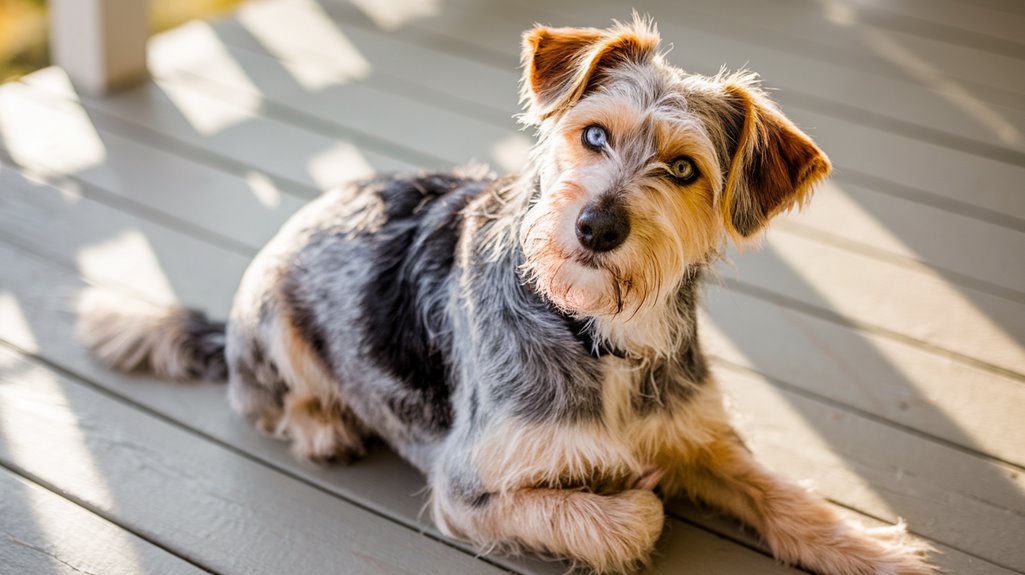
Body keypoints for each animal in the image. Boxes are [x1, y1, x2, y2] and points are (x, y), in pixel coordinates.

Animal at [79, 15, 934, 573]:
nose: (596, 225)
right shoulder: (467, 486)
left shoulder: (700, 435)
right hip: (274, 317)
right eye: (593, 133)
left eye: (685, 168)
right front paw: (632, 499)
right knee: (266, 399)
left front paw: (868, 548)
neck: (597, 329)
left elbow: (777, 490)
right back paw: (324, 422)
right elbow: (627, 520)